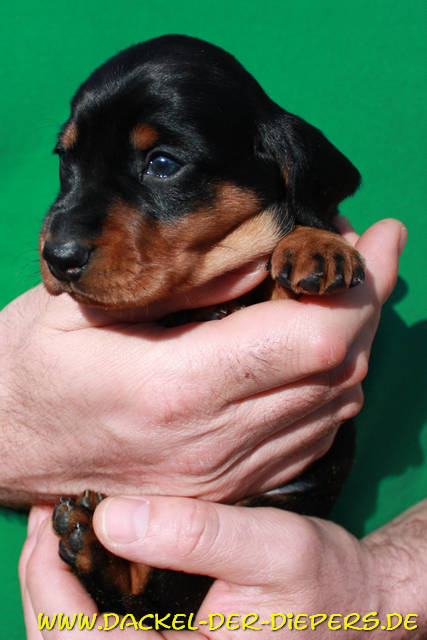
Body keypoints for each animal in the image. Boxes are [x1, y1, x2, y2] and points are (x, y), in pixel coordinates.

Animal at [40, 35, 364, 618]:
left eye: (163, 163)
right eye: (64, 161)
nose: (58, 256)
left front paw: (317, 243)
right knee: (151, 598)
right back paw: (93, 546)